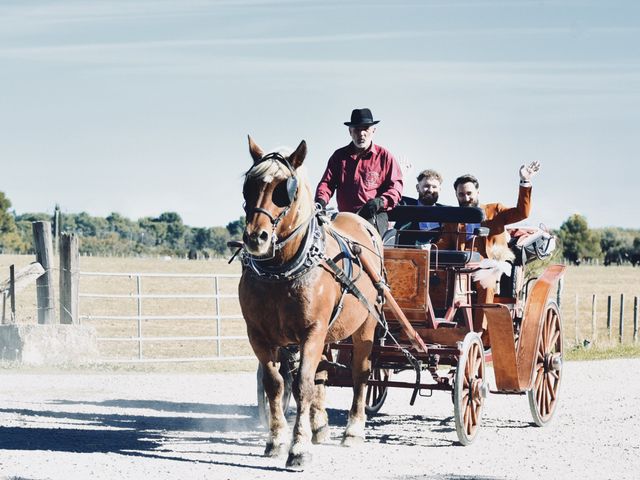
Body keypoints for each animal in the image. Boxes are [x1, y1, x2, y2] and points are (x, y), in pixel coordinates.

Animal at [240, 135, 384, 468]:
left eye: (285, 190)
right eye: (248, 186)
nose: (256, 238)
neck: (282, 270)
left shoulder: (312, 332)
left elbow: (302, 385)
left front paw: (298, 447)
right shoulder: (258, 335)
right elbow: (276, 384)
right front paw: (276, 440)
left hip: (365, 326)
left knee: (360, 373)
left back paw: (353, 430)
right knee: (322, 375)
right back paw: (320, 426)